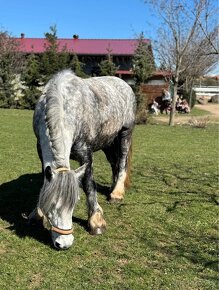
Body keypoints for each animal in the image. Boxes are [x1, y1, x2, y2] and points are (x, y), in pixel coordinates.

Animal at [28, 70, 136, 249]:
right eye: (52, 205)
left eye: (74, 204)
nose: (64, 244)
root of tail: (124, 84)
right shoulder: (39, 151)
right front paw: (37, 213)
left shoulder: (85, 152)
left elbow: (88, 184)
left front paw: (96, 221)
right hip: (108, 141)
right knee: (113, 163)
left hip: (125, 134)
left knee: (121, 163)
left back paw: (117, 193)